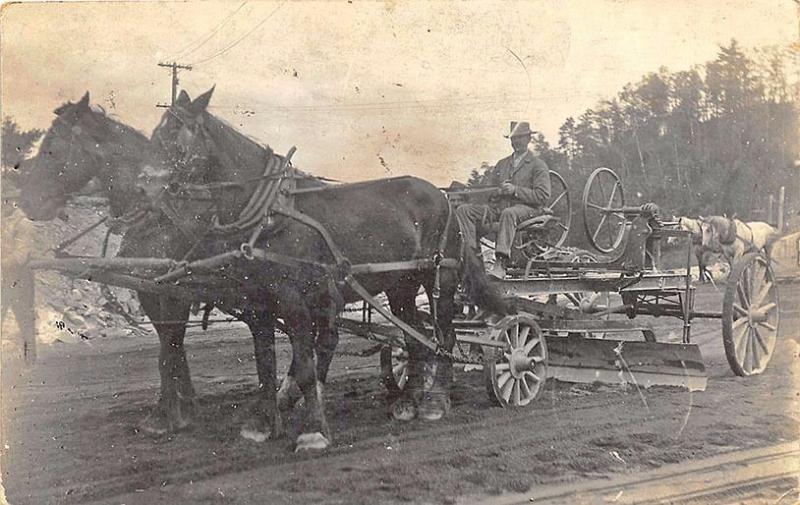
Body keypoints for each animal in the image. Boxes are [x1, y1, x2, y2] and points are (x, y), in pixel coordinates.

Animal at [149, 86, 500, 448]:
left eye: (174, 133)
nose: (146, 183)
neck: (271, 215)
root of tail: (445, 199)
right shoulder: (258, 303)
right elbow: (264, 364)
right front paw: (262, 423)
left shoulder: (294, 300)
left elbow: (306, 366)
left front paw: (313, 430)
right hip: (400, 284)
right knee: (414, 338)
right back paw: (407, 402)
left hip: (441, 277)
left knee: (444, 336)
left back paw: (435, 401)